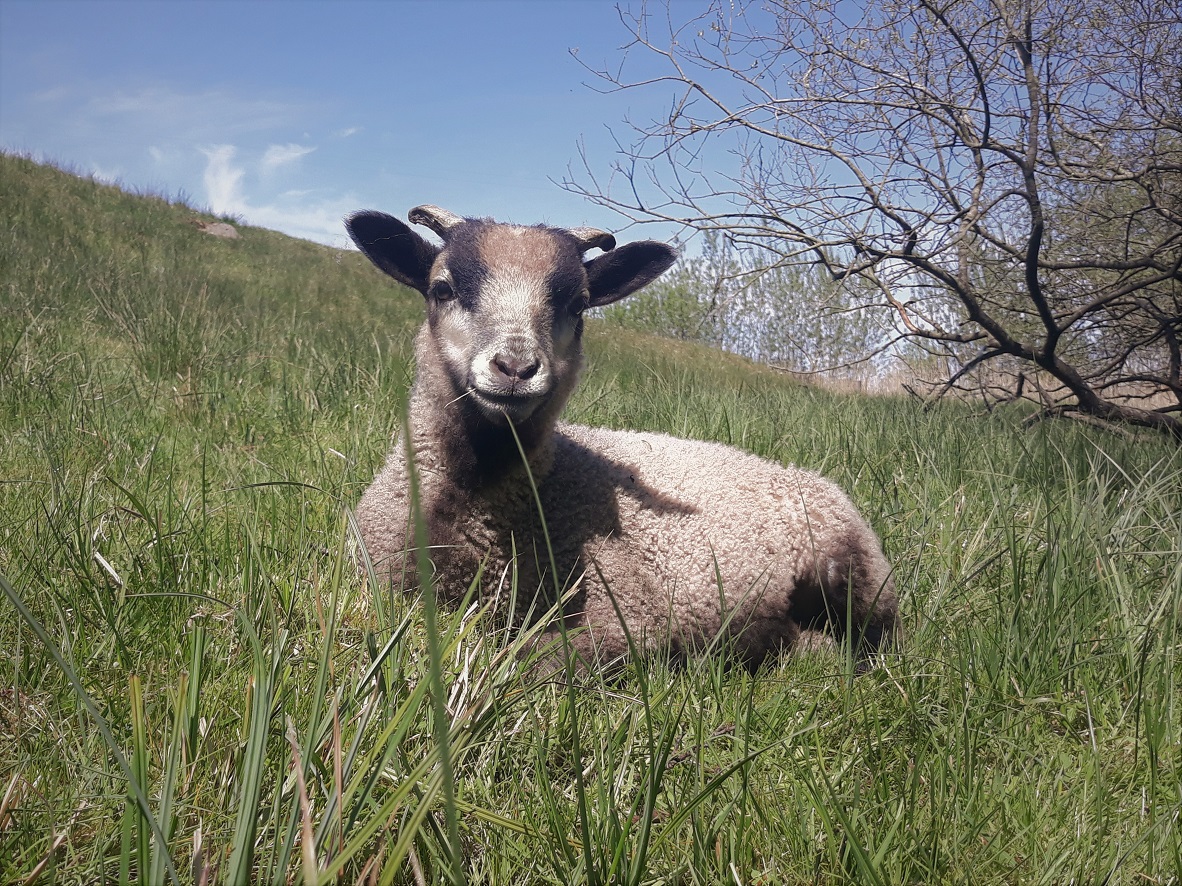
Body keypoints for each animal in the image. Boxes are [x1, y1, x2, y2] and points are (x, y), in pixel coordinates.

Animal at [342, 203, 893, 670]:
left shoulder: (631, 612)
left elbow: (532, 662)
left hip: (854, 573)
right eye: (442, 288)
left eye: (579, 304)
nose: (516, 368)